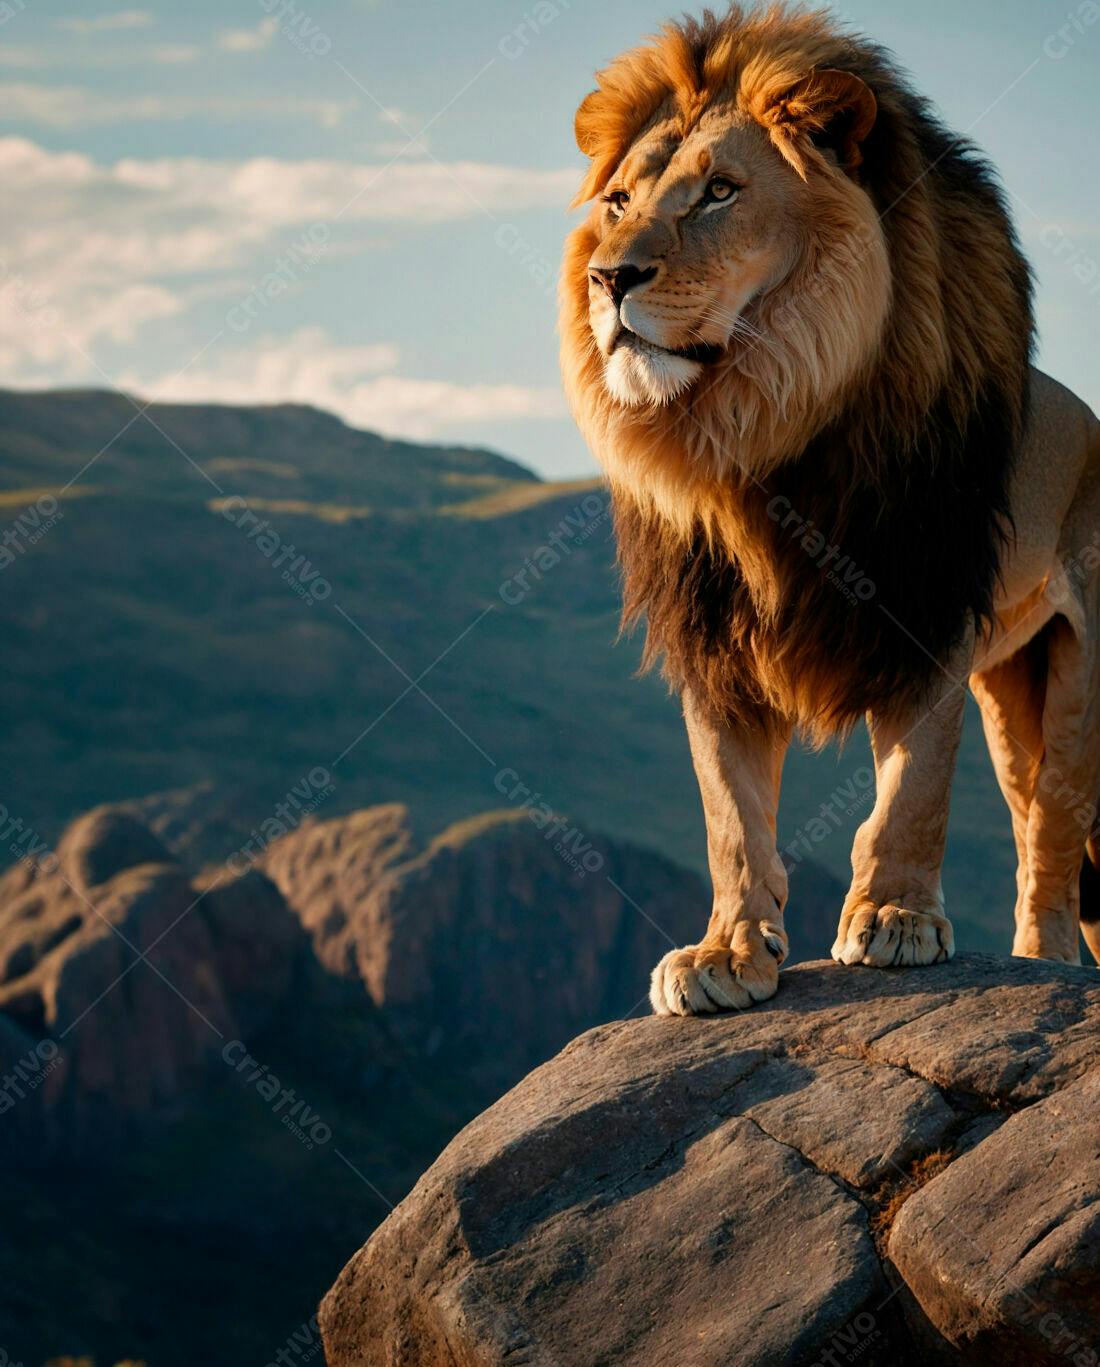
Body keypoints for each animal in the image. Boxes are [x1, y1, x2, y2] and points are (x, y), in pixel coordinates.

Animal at [559, 4, 1100, 1015]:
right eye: (618, 201)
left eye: (719, 192)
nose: (609, 280)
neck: (760, 426)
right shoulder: (712, 634)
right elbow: (730, 811)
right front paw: (728, 951)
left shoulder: (924, 598)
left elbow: (914, 786)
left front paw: (894, 917)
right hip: (1015, 683)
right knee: (1029, 810)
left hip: (1082, 669)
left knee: (1056, 823)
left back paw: (1044, 962)